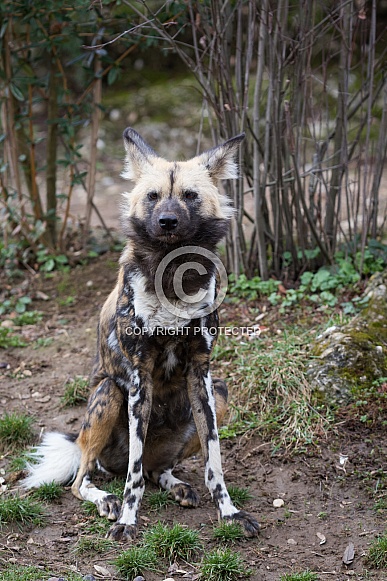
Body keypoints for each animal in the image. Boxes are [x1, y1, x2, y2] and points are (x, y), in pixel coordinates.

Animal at [23, 127, 260, 540]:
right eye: (152, 196)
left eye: (189, 196)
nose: (166, 220)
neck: (172, 276)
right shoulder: (138, 377)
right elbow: (132, 480)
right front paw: (128, 521)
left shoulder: (202, 374)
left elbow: (215, 464)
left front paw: (229, 513)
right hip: (108, 396)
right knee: (88, 477)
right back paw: (106, 500)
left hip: (218, 394)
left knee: (153, 469)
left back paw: (175, 484)